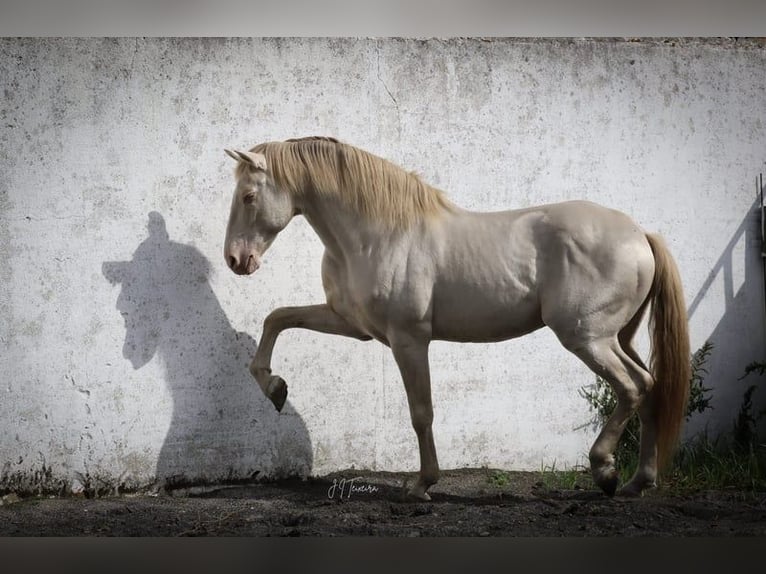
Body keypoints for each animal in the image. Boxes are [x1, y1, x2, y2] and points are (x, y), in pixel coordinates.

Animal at [220, 137, 688, 502]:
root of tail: (640, 235)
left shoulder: (408, 340)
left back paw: (604, 471)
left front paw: (422, 485)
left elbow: (421, 411)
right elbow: (276, 319)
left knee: (633, 386)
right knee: (650, 387)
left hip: (588, 338)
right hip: (616, 337)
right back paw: (637, 483)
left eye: (248, 196)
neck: (378, 235)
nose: (236, 260)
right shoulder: (352, 324)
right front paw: (275, 388)